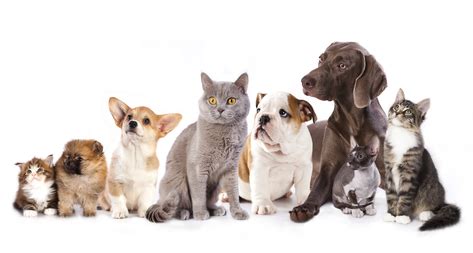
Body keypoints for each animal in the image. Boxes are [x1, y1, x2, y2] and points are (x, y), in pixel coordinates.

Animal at [147, 71, 251, 221]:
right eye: (212, 100)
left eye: (231, 100)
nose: (220, 109)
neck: (225, 134)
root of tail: (158, 200)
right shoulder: (198, 167)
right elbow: (198, 193)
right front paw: (200, 213)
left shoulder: (231, 168)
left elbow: (234, 191)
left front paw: (237, 212)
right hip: (178, 182)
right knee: (174, 206)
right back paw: (184, 213)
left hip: (217, 186)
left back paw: (216, 209)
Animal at [288, 42, 388, 222]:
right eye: (321, 59)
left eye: (342, 66)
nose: (305, 81)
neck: (353, 121)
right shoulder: (328, 171)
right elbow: (316, 193)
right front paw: (304, 208)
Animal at [384, 89, 458, 231]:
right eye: (396, 107)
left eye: (407, 111)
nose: (396, 113)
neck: (400, 135)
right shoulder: (388, 171)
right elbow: (391, 195)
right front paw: (391, 214)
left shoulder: (410, 173)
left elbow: (405, 197)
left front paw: (401, 216)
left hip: (434, 188)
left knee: (436, 207)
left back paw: (425, 214)